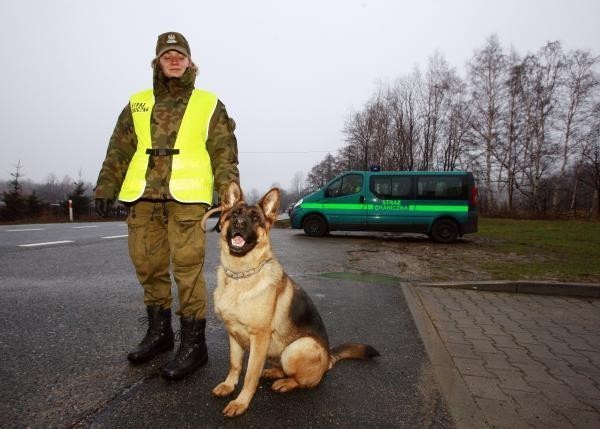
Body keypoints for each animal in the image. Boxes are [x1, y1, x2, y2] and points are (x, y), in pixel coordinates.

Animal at [204, 182, 378, 416]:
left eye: (255, 219)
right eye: (234, 215)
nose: (240, 223)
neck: (241, 275)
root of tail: (328, 359)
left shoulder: (259, 338)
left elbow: (250, 374)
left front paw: (241, 402)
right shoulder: (233, 333)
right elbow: (235, 365)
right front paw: (229, 385)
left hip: (297, 348)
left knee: (304, 381)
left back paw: (286, 383)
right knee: (281, 369)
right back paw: (274, 373)